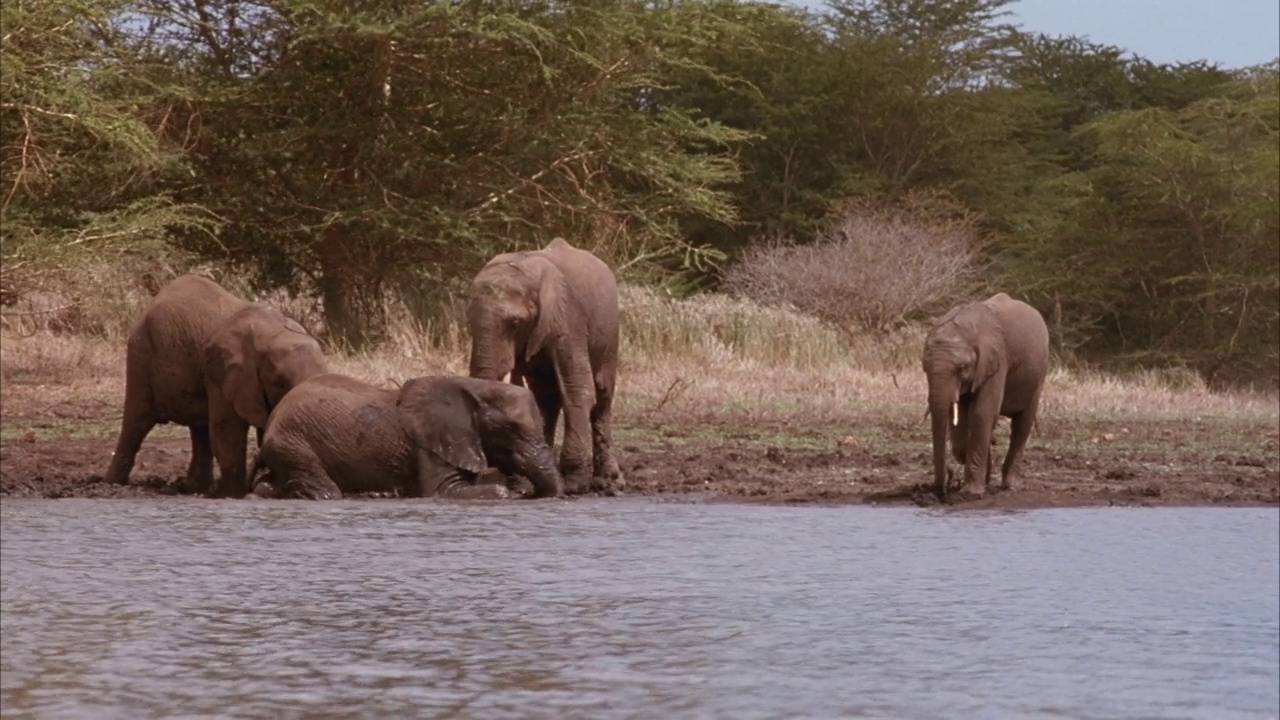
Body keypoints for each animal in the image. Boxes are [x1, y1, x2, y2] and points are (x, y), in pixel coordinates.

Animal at [103, 271, 327, 497]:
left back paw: (195, 488)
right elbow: (227, 432)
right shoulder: (223, 373)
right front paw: (235, 495)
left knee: (200, 430)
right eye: (278, 383)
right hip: (140, 356)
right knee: (136, 422)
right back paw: (112, 483)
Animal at [247, 368, 563, 499]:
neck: (475, 386)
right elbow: (445, 491)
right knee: (327, 492)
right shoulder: (430, 443)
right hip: (293, 441)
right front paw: (509, 491)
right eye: (510, 430)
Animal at [465, 235, 624, 491]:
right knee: (546, 397)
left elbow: (578, 389)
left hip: (609, 334)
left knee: (602, 396)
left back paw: (608, 483)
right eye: (468, 322)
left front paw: (572, 485)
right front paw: (522, 483)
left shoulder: (567, 318)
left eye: (515, 324)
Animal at [921, 289, 1049, 499]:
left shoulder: (997, 359)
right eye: (924, 368)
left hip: (1039, 373)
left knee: (1023, 422)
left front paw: (971, 493)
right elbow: (960, 419)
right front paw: (981, 482)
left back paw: (1010, 486)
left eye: (962, 368)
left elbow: (982, 412)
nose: (941, 493)